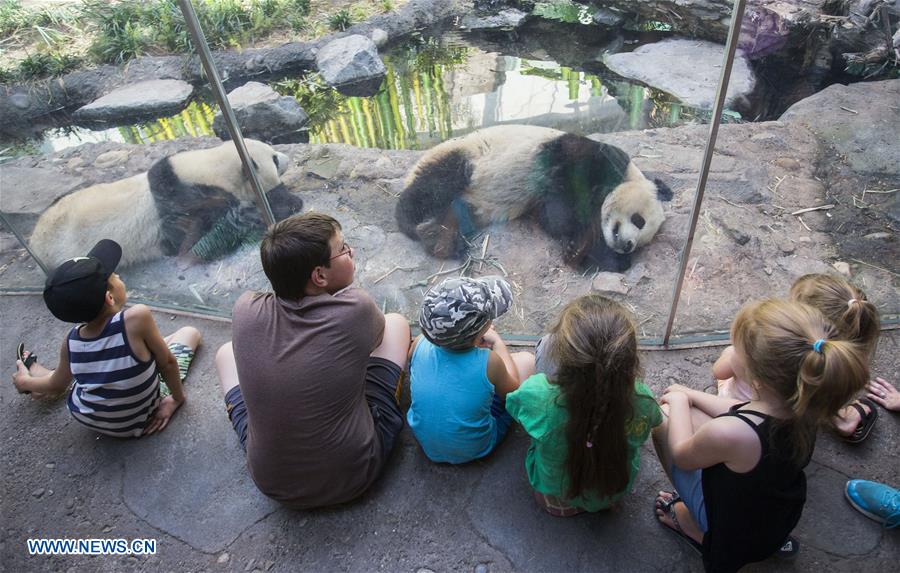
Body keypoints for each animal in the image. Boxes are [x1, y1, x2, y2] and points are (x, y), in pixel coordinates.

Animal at [29, 139, 304, 268]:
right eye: (274, 158)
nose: (287, 158)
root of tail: (33, 243)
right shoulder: (181, 202)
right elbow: (204, 237)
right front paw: (284, 201)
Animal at [398, 124, 672, 270]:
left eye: (644, 241)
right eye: (639, 220)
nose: (628, 246)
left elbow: (551, 216)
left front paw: (582, 250)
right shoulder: (581, 157)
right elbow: (560, 209)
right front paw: (576, 240)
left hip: (468, 205)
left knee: (454, 213)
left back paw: (440, 239)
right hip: (463, 158)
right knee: (434, 185)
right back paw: (414, 223)